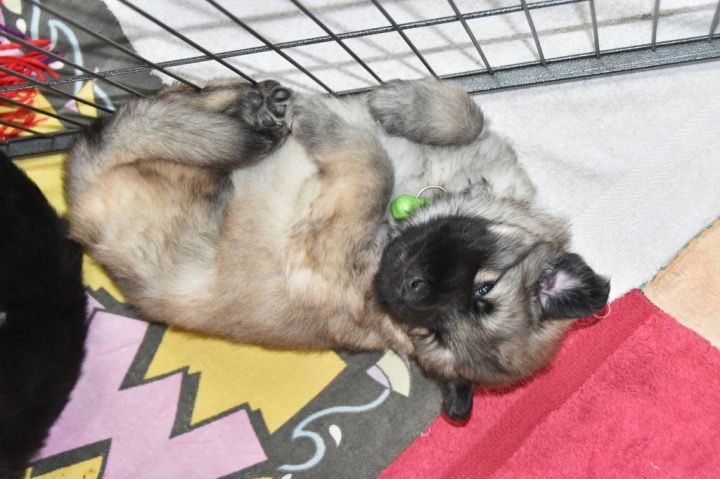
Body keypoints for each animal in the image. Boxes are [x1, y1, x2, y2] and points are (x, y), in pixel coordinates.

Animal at [65, 78, 609, 421]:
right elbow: (464, 113)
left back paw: (257, 117)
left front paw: (324, 119)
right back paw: (254, 100)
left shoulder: (321, 248)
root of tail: (78, 209)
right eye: (484, 290)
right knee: (186, 98)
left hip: (161, 162)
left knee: (153, 125)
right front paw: (396, 102)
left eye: (433, 333)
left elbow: (371, 166)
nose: (406, 285)